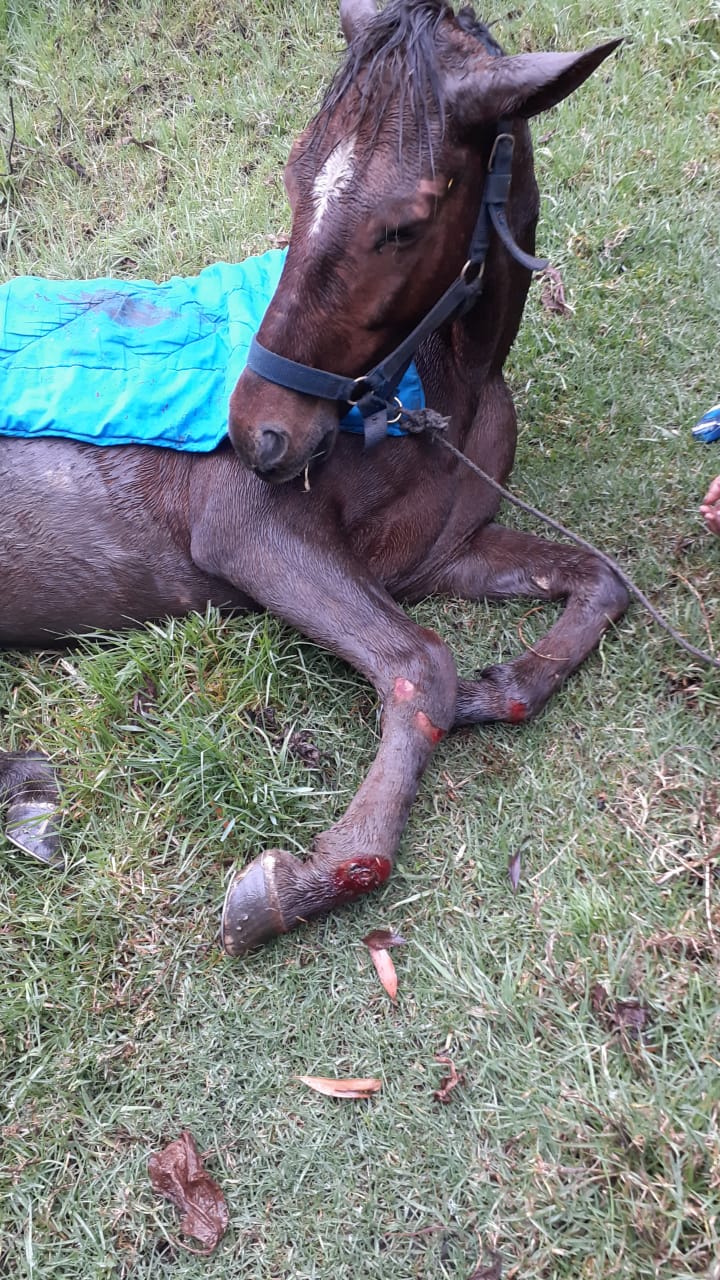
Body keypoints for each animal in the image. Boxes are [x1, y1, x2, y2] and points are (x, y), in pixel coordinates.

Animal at [0, 0, 627, 955]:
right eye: (294, 183)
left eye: (405, 224)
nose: (257, 433)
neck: (439, 390)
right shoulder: (251, 530)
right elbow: (419, 662)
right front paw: (300, 881)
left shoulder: (441, 554)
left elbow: (601, 580)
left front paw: (499, 687)